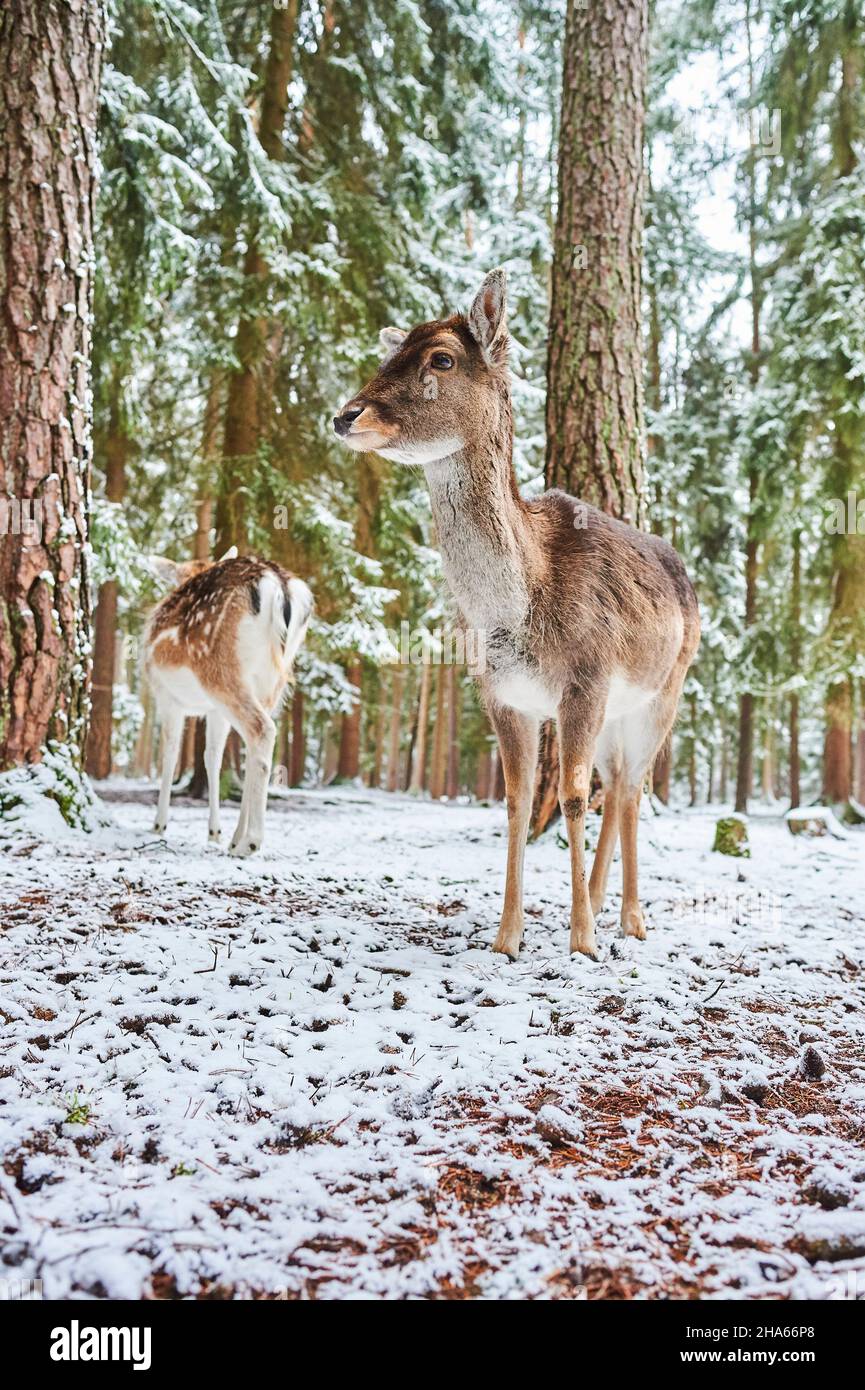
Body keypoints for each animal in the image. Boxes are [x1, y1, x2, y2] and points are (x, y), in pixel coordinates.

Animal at [144, 547, 315, 850]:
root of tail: (279, 585)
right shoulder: (214, 711)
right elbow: (212, 757)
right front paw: (215, 832)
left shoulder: (166, 696)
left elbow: (170, 753)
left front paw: (158, 825)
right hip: (272, 681)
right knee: (256, 744)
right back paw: (237, 839)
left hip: (220, 674)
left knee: (262, 729)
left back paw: (250, 842)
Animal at [335, 268, 700, 956]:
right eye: (386, 355)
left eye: (440, 358)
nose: (345, 415)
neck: (519, 608)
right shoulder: (501, 693)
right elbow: (516, 799)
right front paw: (508, 936)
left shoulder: (586, 680)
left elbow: (572, 796)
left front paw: (580, 939)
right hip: (618, 713)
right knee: (618, 784)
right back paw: (605, 900)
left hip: (663, 693)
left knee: (631, 788)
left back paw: (630, 918)